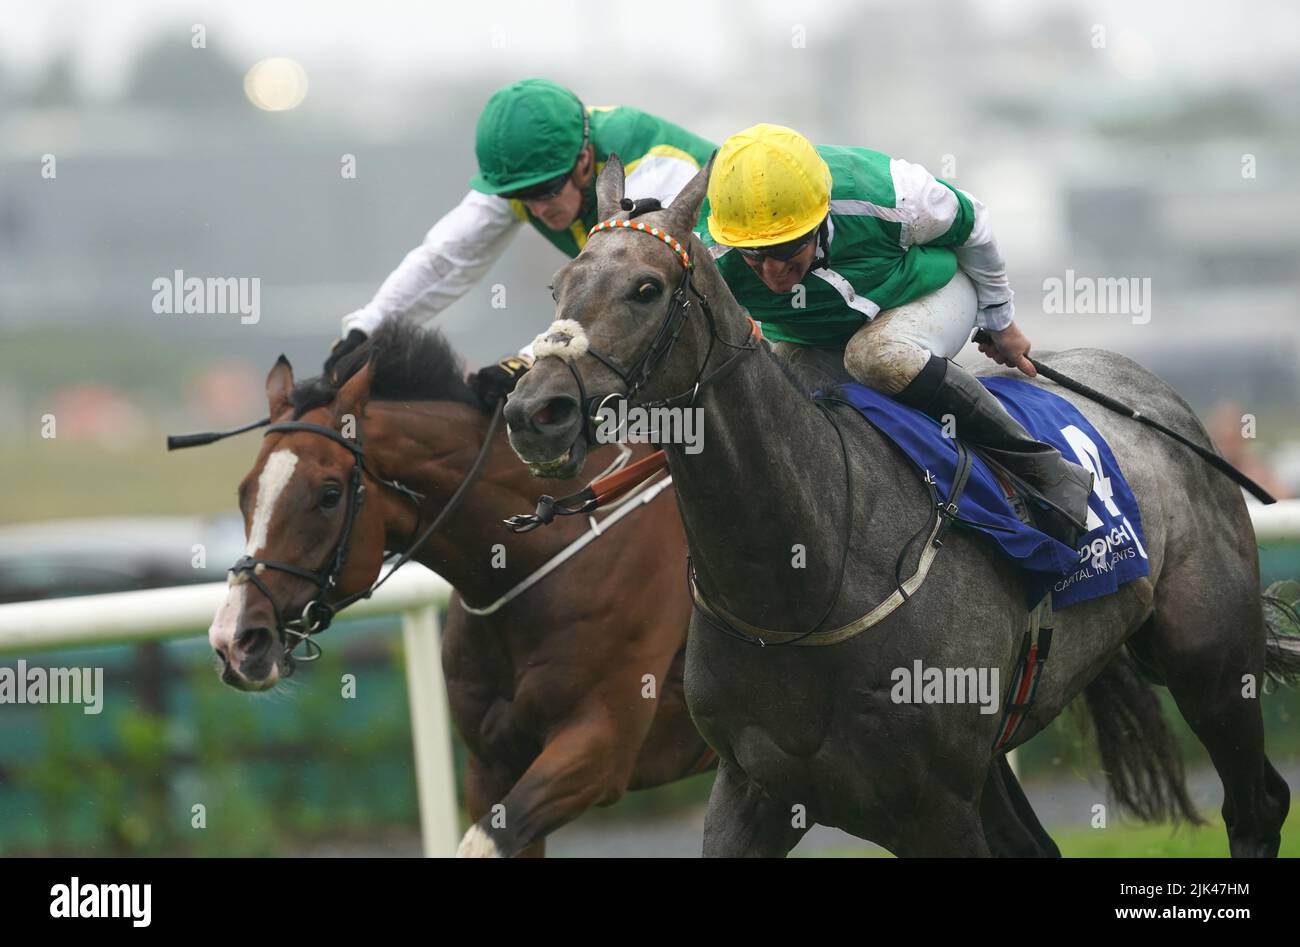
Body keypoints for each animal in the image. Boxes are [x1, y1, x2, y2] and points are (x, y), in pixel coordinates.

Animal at [501, 157, 1294, 858]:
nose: (535, 411)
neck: (807, 577)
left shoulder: (934, 808)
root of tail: (1156, 396)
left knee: (1257, 803)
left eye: (646, 288)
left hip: (1209, 658)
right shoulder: (755, 790)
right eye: (558, 285)